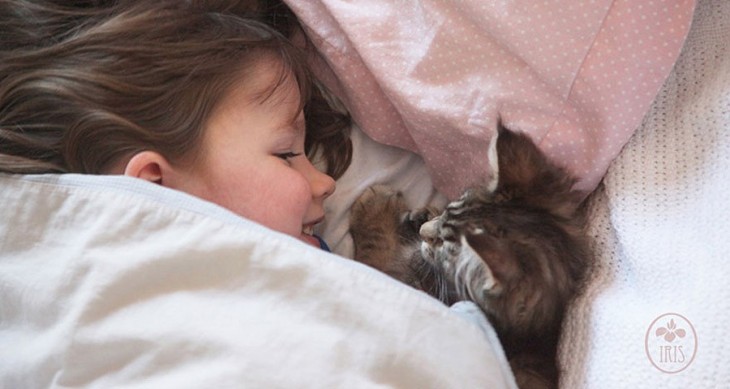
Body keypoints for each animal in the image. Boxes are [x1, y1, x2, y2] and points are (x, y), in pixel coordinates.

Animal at [346, 125, 584, 388]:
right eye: (448, 209)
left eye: (443, 244)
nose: (424, 232)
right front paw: (423, 215)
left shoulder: (395, 279)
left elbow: (376, 250)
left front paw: (377, 206)